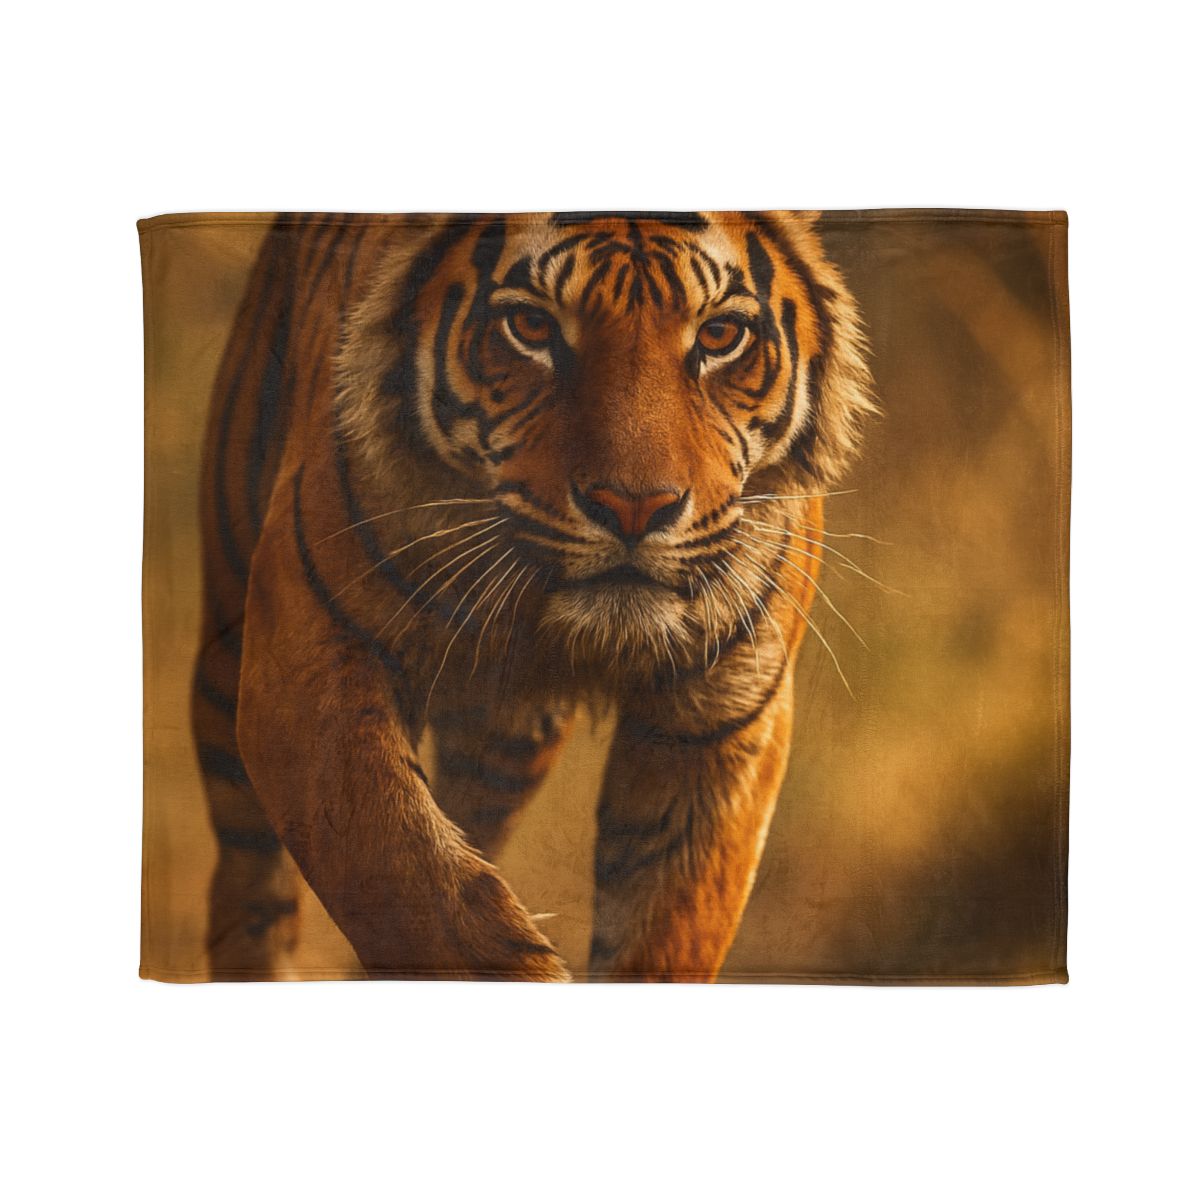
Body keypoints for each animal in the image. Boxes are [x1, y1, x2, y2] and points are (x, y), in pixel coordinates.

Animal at [193, 211, 875, 981]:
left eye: (721, 335)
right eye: (531, 326)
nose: (634, 507)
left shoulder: (719, 719)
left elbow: (665, 932)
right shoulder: (308, 661)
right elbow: (412, 880)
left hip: (510, 743)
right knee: (254, 884)